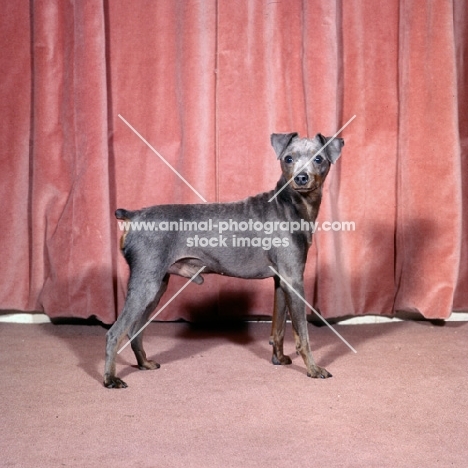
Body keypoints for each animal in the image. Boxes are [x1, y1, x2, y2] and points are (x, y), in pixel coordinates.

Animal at [104, 132, 342, 388]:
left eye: (319, 159)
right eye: (288, 158)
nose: (301, 178)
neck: (292, 206)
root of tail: (134, 216)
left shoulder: (282, 281)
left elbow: (278, 327)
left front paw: (279, 359)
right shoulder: (294, 280)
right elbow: (303, 333)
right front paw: (314, 369)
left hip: (157, 286)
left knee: (134, 330)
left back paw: (144, 364)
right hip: (146, 285)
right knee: (115, 332)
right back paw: (110, 378)